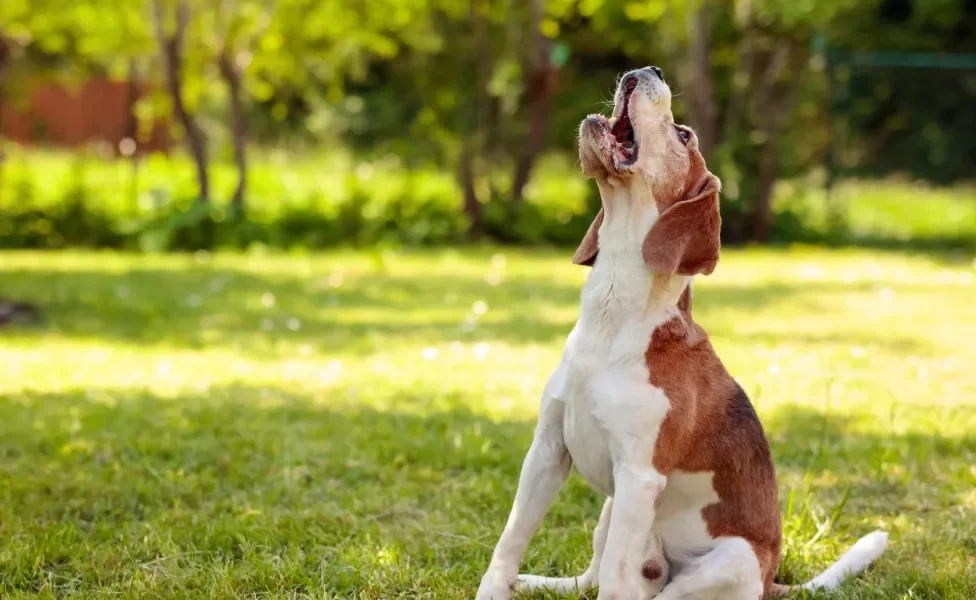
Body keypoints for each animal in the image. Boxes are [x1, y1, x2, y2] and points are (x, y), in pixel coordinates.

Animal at [476, 67, 888, 600]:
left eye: (684, 135)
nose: (648, 71)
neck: (611, 316)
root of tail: (772, 580)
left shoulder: (639, 477)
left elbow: (614, 580)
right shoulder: (546, 453)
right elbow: (510, 541)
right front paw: (498, 585)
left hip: (726, 558)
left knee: (639, 588)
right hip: (608, 511)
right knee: (592, 577)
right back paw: (537, 582)